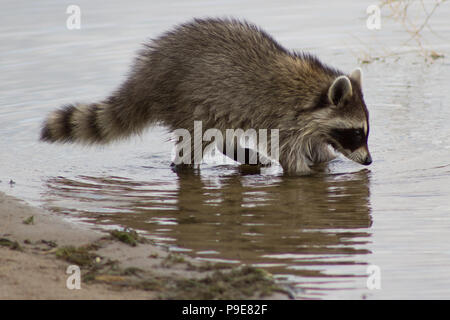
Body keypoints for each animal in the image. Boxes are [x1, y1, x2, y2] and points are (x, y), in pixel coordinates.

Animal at [41, 17, 372, 175]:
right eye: (356, 132)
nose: (369, 161)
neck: (312, 89)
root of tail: (148, 72)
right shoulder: (282, 120)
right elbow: (290, 156)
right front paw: (307, 173)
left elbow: (316, 150)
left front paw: (324, 163)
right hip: (188, 100)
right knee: (193, 141)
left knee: (219, 133)